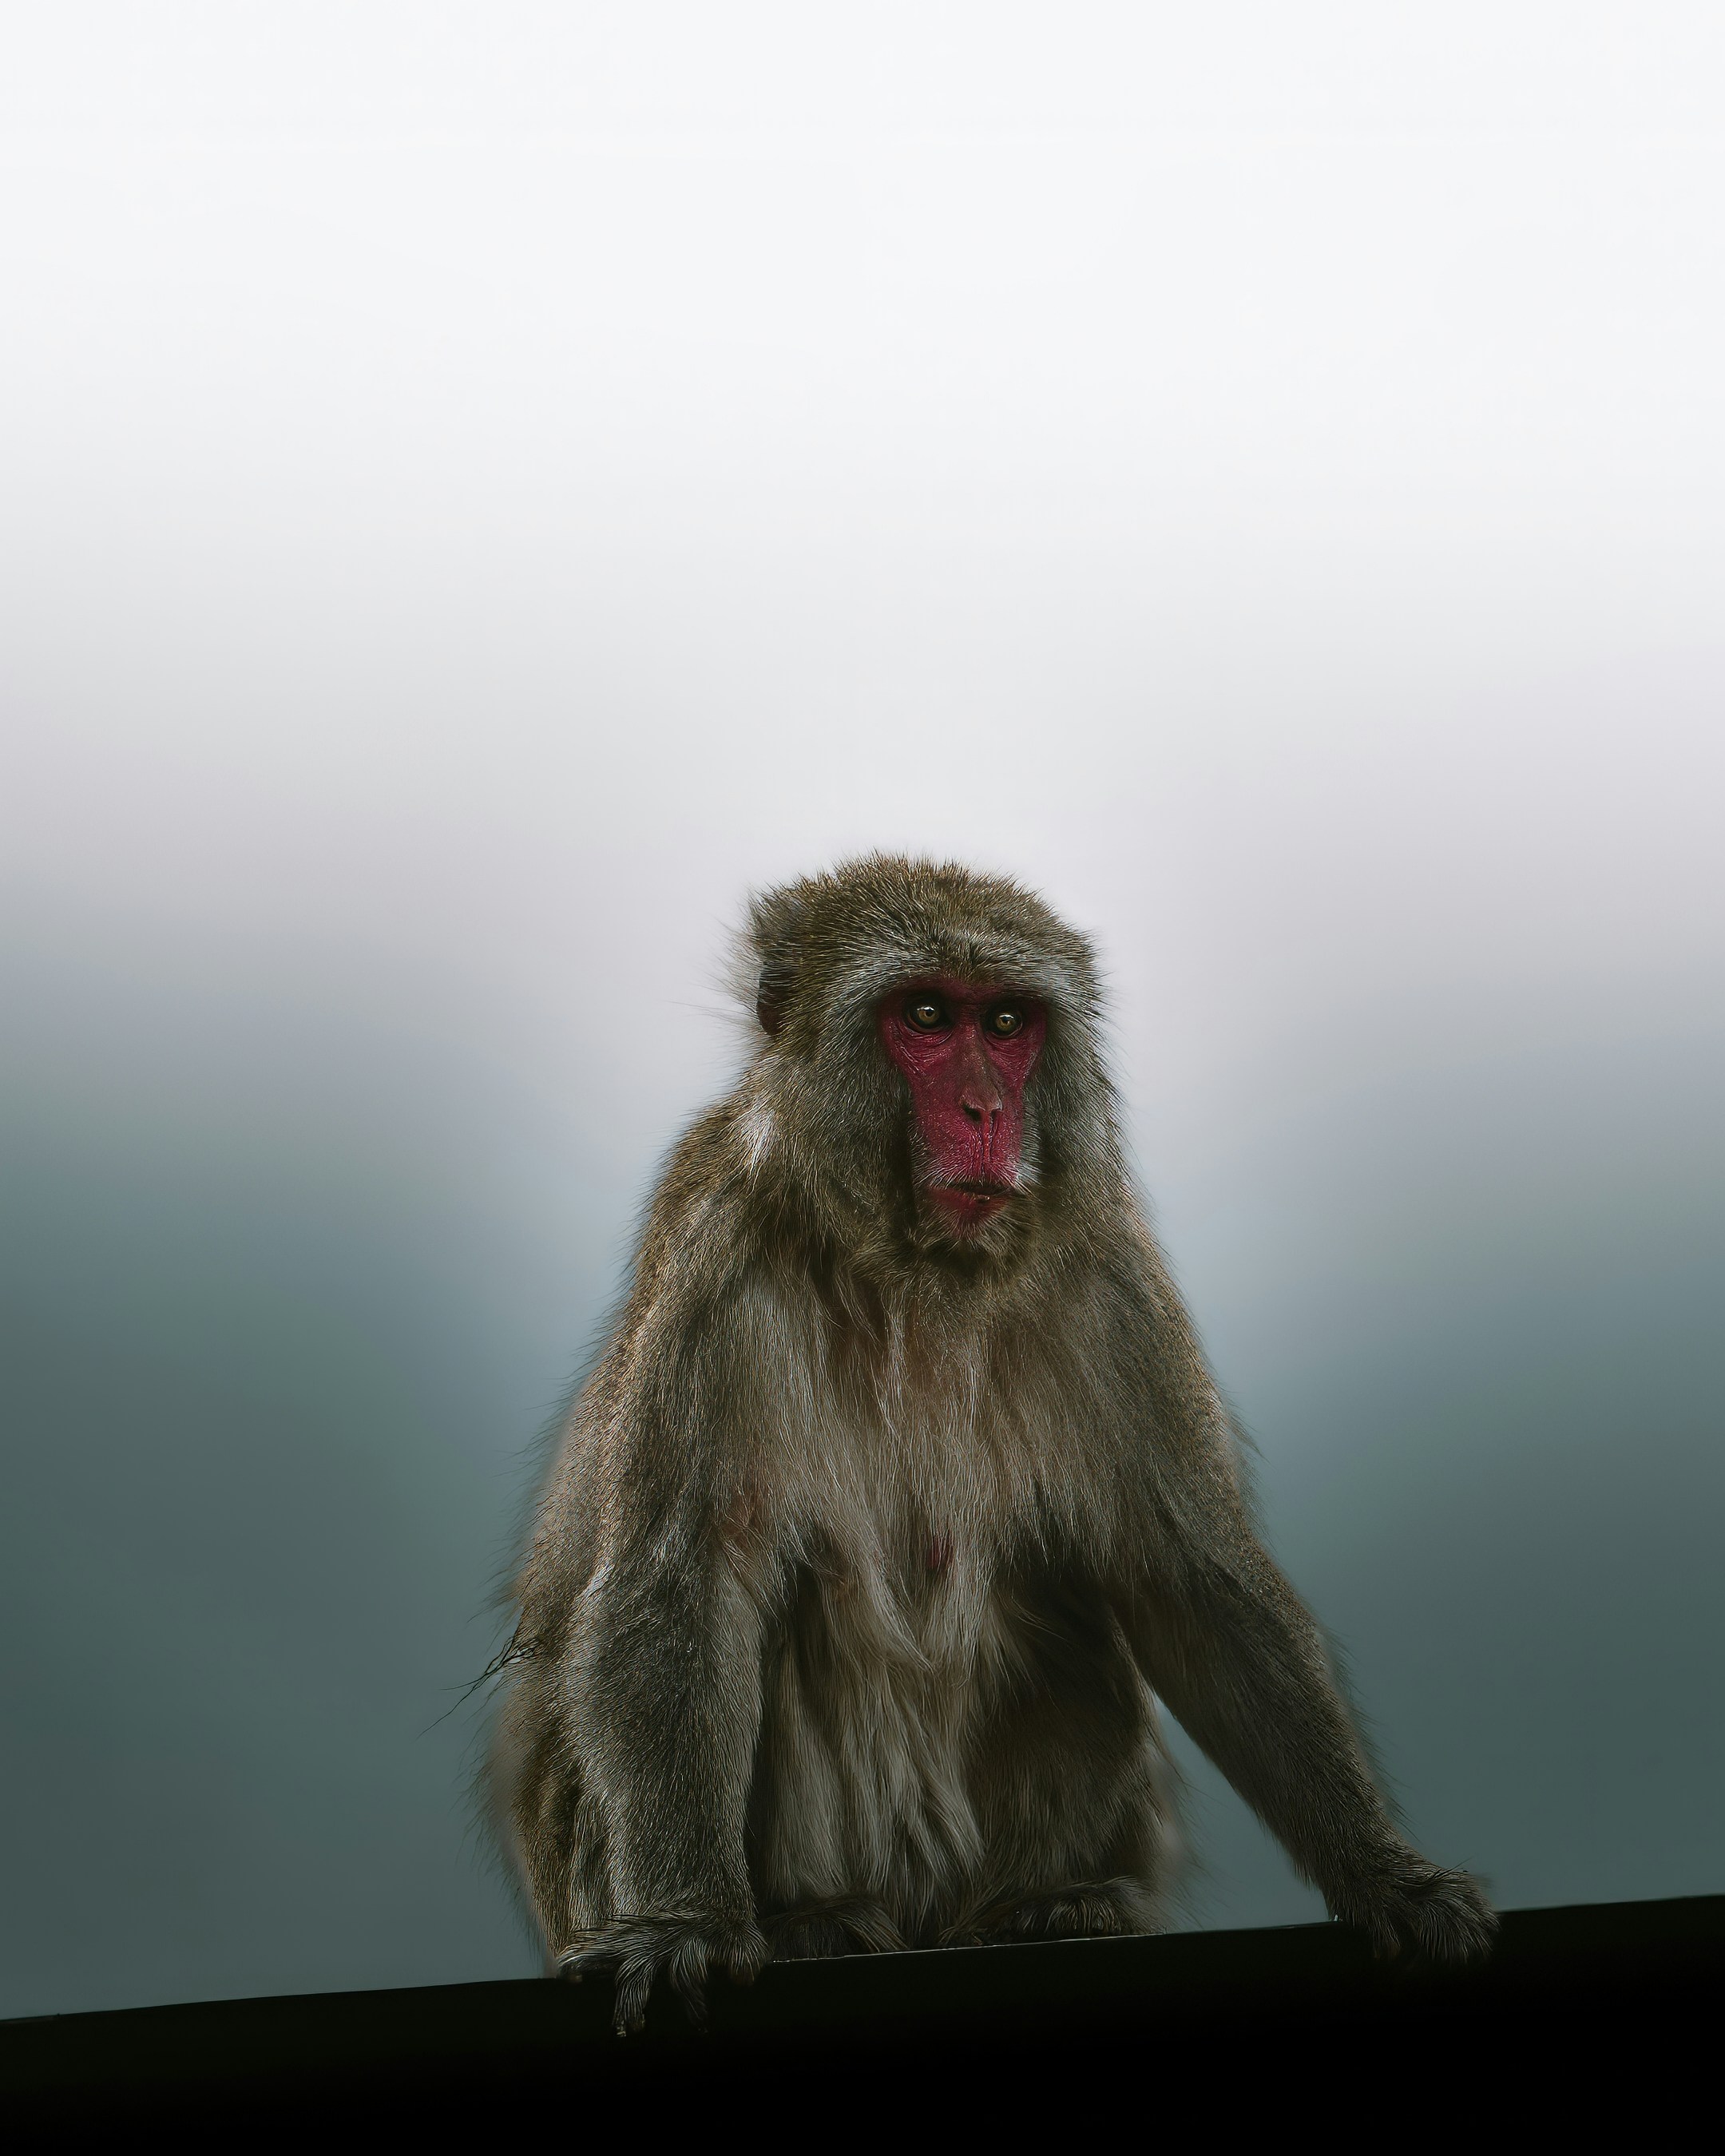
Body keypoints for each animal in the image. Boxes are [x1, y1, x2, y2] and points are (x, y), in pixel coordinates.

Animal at [490, 855, 1495, 2033]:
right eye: (926, 1017)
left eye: (1007, 1023)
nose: (983, 1109)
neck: (916, 1269)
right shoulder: (714, 1263)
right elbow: (679, 1576)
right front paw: (687, 1919)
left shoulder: (1109, 1271)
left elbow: (1187, 1575)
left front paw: (1383, 1872)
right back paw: (813, 1921)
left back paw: (1050, 1900)